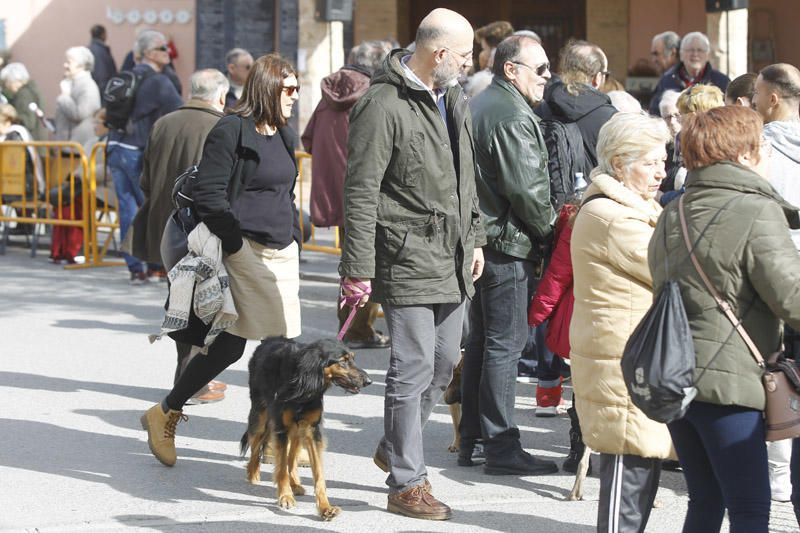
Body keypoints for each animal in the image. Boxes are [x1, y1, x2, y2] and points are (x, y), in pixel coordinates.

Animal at [239, 336, 374, 520]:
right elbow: (281, 468)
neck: (305, 382)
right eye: (342, 361)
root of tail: (269, 339)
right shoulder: (281, 427)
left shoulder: (311, 430)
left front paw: (325, 507)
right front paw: (285, 497)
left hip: (297, 429)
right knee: (255, 446)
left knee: (291, 455)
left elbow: (318, 473)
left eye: (353, 358)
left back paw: (295, 483)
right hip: (260, 416)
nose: (368, 381)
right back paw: (253, 474)